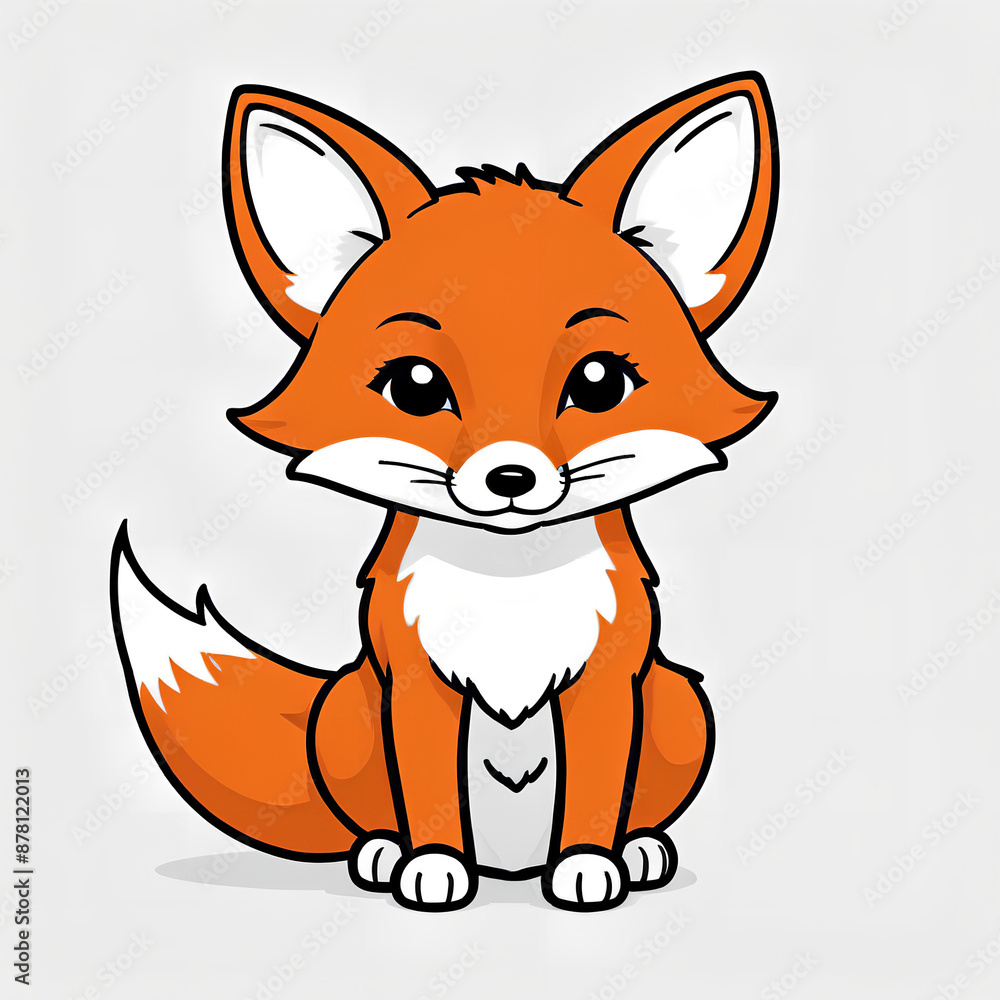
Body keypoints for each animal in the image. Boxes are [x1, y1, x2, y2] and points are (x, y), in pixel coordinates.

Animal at [112, 73, 778, 911]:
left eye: (599, 382)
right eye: (416, 386)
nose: (511, 477)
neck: (508, 589)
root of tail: (511, 869)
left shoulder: (607, 680)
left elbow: (596, 790)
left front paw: (590, 864)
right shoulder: (415, 683)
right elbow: (428, 789)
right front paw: (430, 864)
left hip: (682, 709)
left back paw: (641, 849)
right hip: (344, 713)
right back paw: (380, 852)